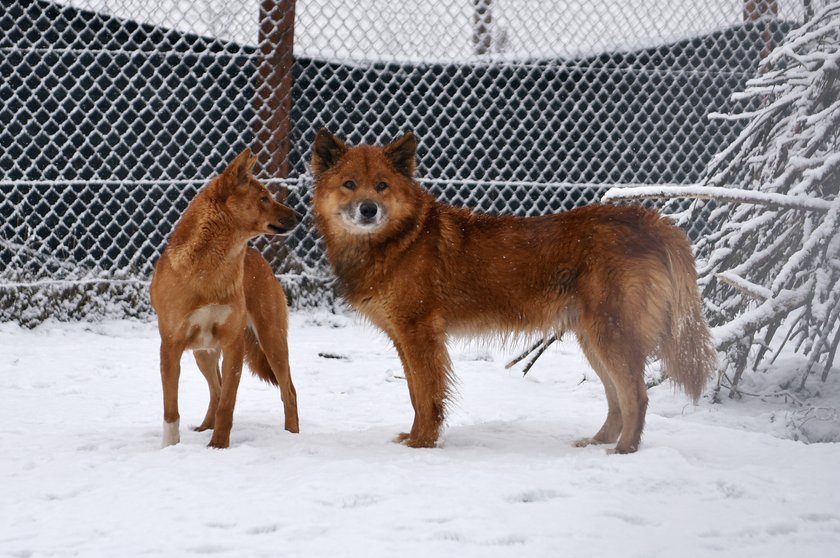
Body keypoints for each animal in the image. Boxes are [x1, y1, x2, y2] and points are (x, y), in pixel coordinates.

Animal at [153, 150, 300, 450]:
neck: (211, 272)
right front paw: (170, 447)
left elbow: (228, 404)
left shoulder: (234, 345)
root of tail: (259, 258)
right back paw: (204, 427)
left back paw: (291, 435)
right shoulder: (170, 347)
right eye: (264, 198)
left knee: (289, 392)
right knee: (215, 389)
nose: (300, 216)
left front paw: (218, 446)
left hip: (272, 341)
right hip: (203, 353)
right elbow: (172, 409)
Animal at [310, 130, 716, 456]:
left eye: (381, 186)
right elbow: (414, 394)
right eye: (349, 184)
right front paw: (413, 438)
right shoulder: (404, 338)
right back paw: (597, 443)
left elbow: (427, 397)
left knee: (637, 397)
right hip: (594, 339)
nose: (368, 209)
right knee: (618, 400)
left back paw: (623, 451)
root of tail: (649, 220)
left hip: (612, 336)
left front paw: (421, 445)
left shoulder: (421, 335)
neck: (398, 241)